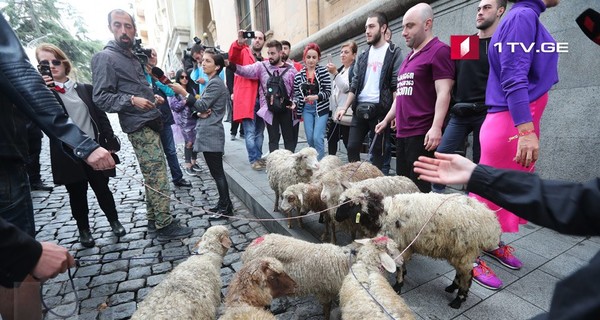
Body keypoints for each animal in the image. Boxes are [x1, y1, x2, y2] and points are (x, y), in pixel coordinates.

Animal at [241, 232, 400, 320]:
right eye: (392, 253)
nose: (401, 263)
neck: (346, 261)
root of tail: (250, 247)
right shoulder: (324, 291)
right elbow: (326, 310)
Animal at [336, 191, 500, 308]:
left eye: (347, 205)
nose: (336, 218)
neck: (383, 213)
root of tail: (492, 225)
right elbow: (402, 264)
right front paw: (403, 277)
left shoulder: (399, 243)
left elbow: (400, 266)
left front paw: (398, 286)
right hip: (458, 251)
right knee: (461, 272)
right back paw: (452, 287)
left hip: (466, 250)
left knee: (468, 275)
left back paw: (458, 300)